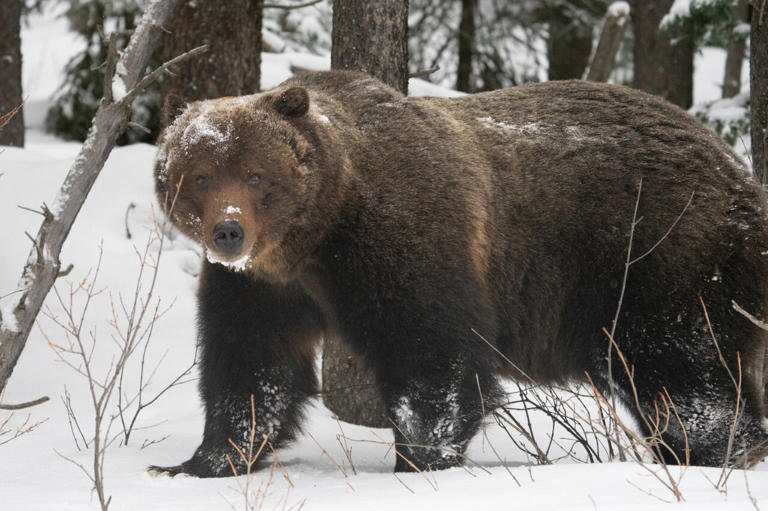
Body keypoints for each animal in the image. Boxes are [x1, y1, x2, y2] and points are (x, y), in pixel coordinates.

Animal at [151, 70, 768, 477]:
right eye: (199, 175)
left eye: (256, 174)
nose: (228, 232)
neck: (316, 237)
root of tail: (738, 171)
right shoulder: (261, 286)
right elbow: (252, 364)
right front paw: (204, 460)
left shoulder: (403, 241)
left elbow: (432, 354)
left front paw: (420, 457)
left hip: (656, 253)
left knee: (678, 364)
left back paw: (711, 451)